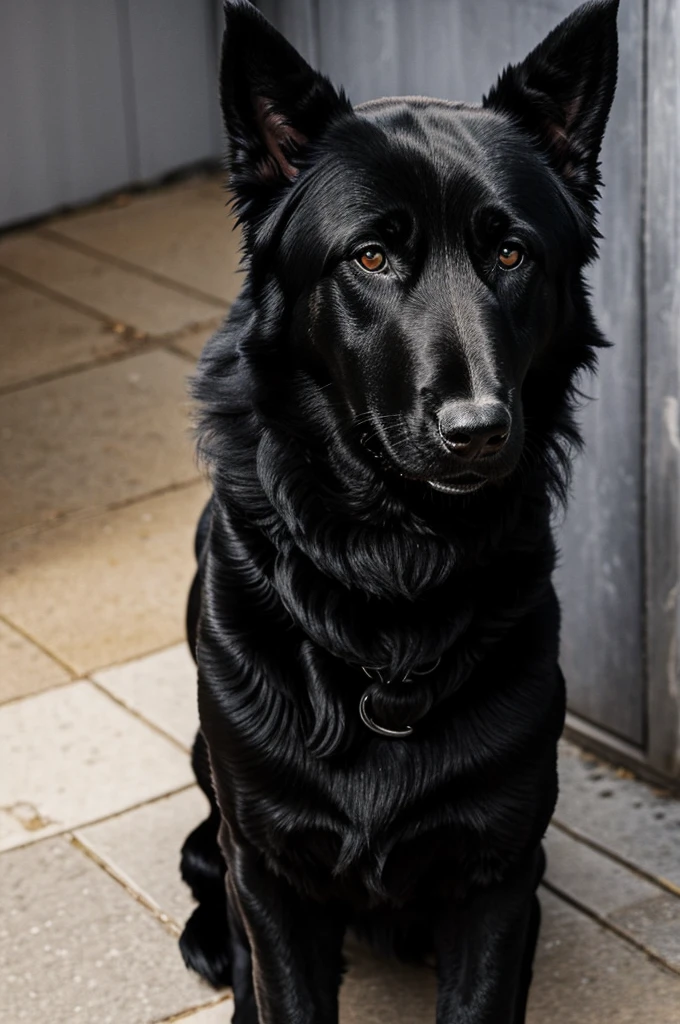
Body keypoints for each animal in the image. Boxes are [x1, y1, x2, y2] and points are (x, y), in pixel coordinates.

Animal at [178, 4, 618, 1019]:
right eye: (372, 257)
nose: (478, 430)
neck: (393, 567)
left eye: (510, 252)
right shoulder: (269, 868)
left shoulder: (501, 873)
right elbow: (277, 978)